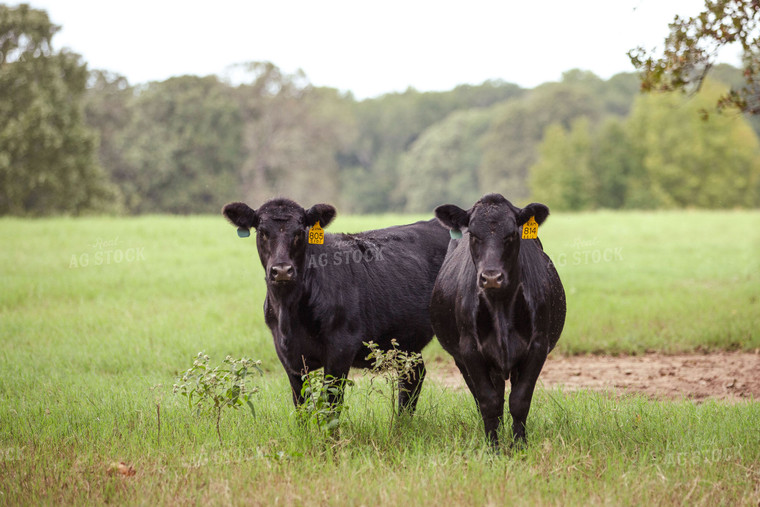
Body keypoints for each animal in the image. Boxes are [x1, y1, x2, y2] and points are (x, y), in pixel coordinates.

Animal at [226, 198, 452, 416]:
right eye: (262, 232)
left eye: (300, 232)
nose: (282, 270)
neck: (288, 313)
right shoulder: (287, 356)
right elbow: (301, 404)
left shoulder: (341, 347)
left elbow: (331, 403)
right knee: (412, 375)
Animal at [428, 193, 564, 448]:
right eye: (473, 234)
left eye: (511, 234)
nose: (491, 277)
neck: (500, 305)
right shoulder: (469, 349)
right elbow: (488, 401)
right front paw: (493, 447)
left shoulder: (538, 346)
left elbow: (519, 400)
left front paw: (519, 446)